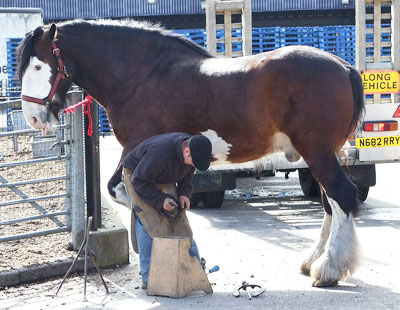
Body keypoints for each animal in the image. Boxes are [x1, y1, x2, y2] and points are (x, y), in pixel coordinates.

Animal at [17, 18, 364, 286]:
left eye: (38, 65)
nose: (32, 118)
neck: (141, 75)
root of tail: (343, 65)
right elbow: (131, 191)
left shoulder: (136, 146)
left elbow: (121, 189)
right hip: (321, 154)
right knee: (330, 204)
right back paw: (313, 261)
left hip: (317, 152)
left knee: (342, 197)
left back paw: (329, 269)